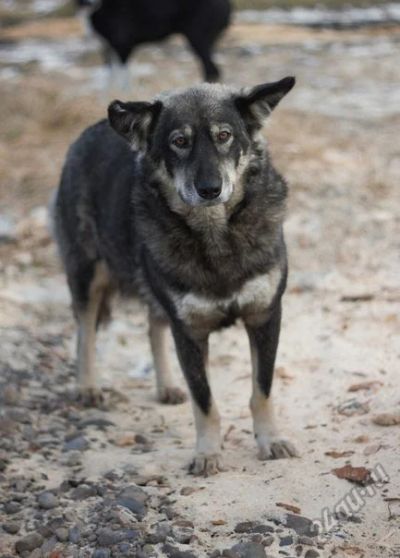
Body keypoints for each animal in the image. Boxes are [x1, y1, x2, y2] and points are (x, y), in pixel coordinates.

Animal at [52, 77, 296, 476]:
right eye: (179, 142)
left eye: (225, 135)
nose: (210, 189)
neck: (215, 236)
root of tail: (92, 129)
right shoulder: (191, 331)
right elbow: (205, 401)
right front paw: (208, 453)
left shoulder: (263, 317)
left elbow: (262, 389)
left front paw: (270, 440)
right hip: (87, 274)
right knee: (85, 331)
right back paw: (87, 386)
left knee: (153, 327)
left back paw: (166, 386)